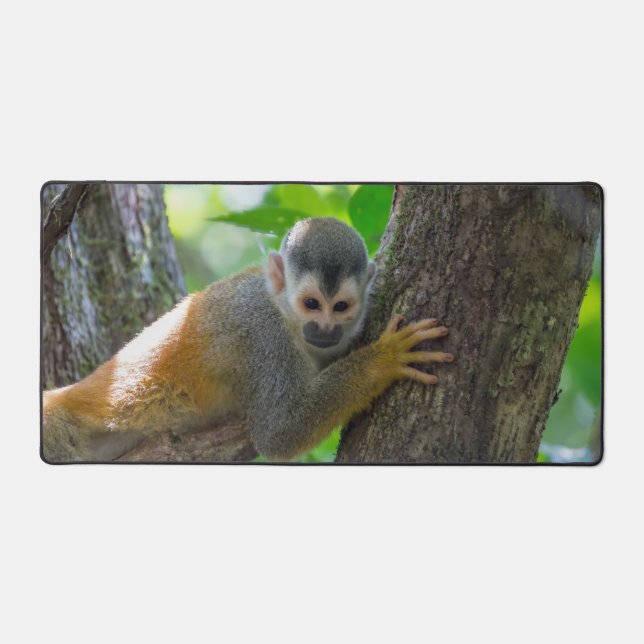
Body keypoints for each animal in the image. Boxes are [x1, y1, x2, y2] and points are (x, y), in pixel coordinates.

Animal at [42, 217, 454, 463]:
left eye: (340, 307)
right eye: (311, 304)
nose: (325, 329)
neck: (283, 313)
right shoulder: (264, 337)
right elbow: (280, 431)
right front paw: (385, 358)